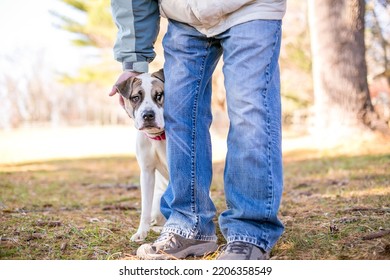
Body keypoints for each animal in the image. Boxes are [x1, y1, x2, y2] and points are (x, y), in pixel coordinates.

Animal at [113, 69, 167, 242]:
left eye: (159, 95)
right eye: (135, 97)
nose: (148, 115)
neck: (158, 138)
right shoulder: (147, 172)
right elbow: (145, 208)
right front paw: (141, 232)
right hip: (158, 203)